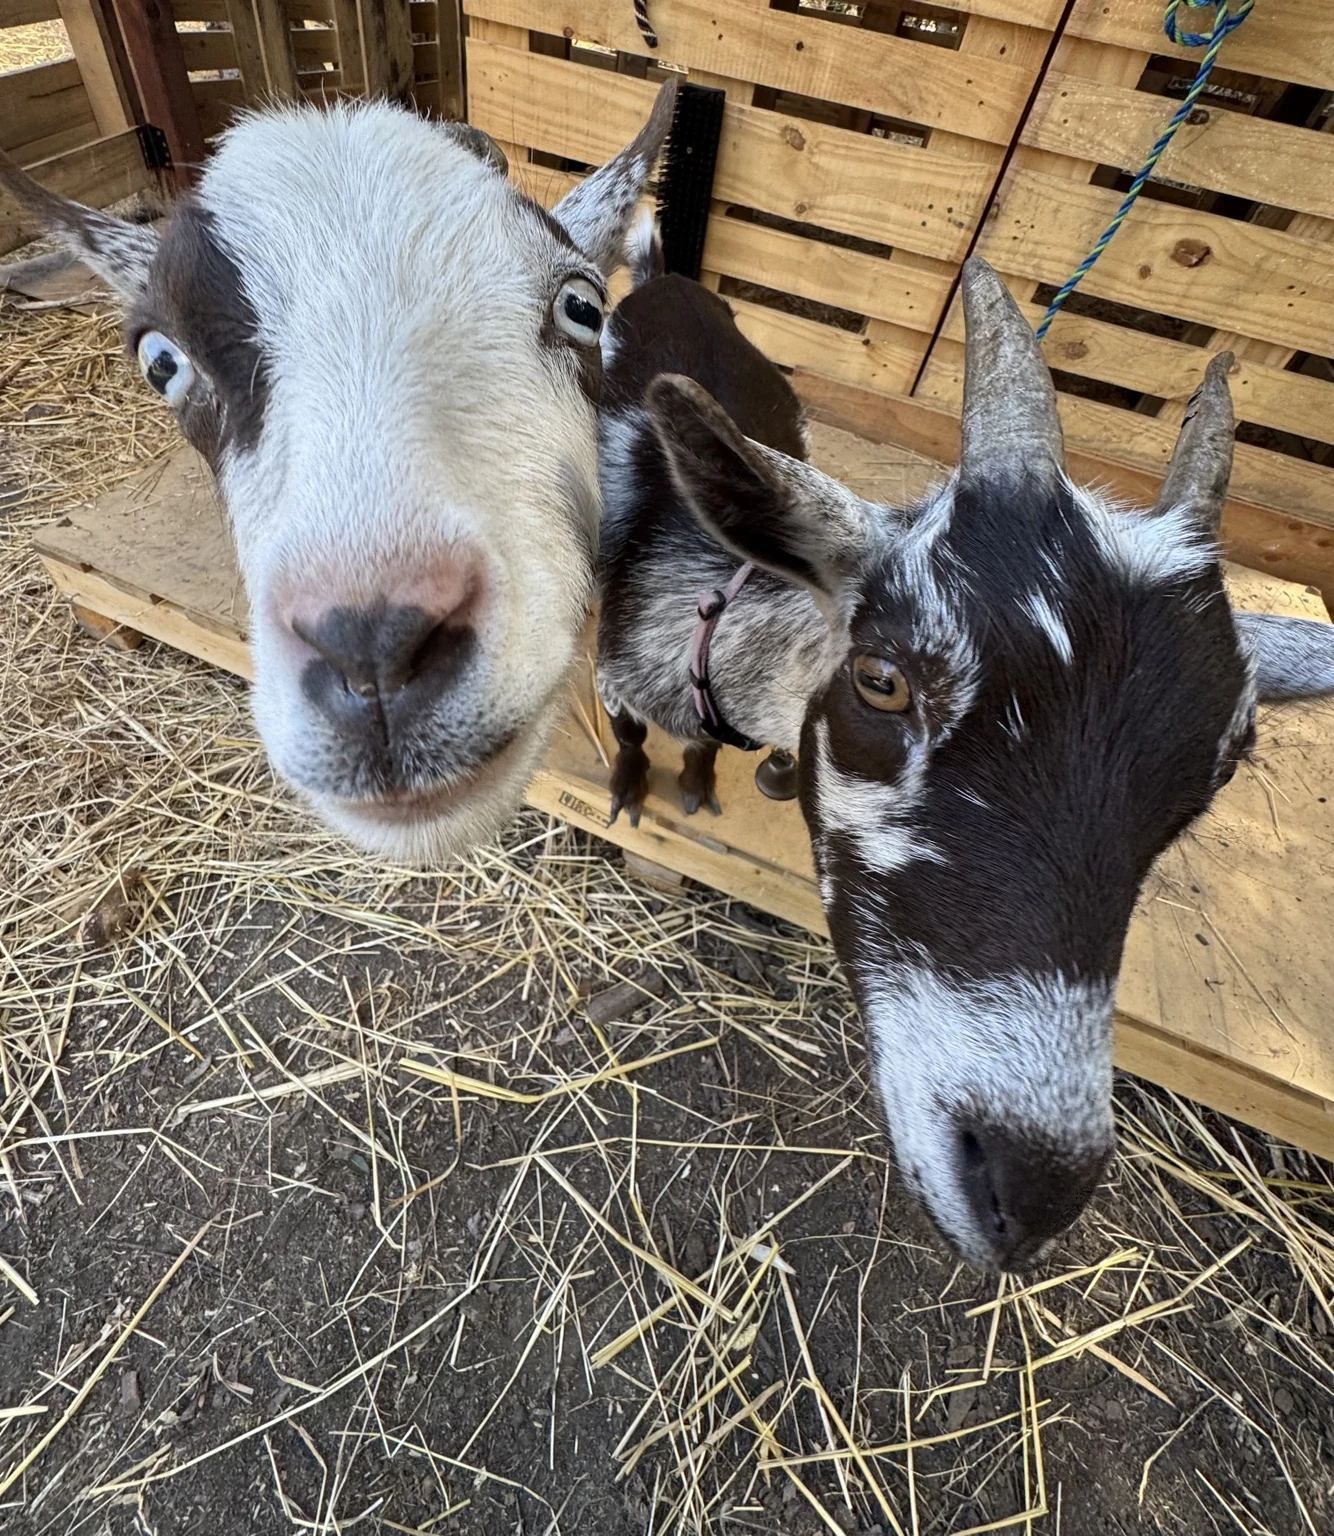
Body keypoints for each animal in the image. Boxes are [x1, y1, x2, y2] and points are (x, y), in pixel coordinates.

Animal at [596, 240, 1334, 1271]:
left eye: (1217, 773)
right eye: (881, 680)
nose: (1028, 1191)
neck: (710, 609)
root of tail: (666, 272)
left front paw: (717, 785)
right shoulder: (615, 673)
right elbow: (631, 734)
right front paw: (633, 791)